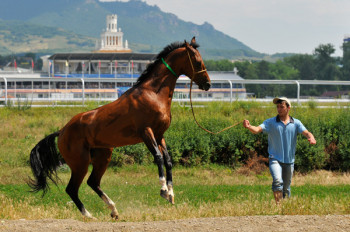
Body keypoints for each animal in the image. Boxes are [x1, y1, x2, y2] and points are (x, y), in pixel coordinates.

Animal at [28, 36, 211, 219]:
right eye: (197, 61)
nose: (208, 84)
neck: (153, 94)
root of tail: (62, 132)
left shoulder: (160, 135)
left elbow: (168, 160)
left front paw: (171, 194)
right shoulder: (146, 132)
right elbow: (158, 157)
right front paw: (164, 190)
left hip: (102, 157)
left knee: (92, 182)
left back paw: (113, 210)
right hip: (80, 163)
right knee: (72, 189)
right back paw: (89, 215)